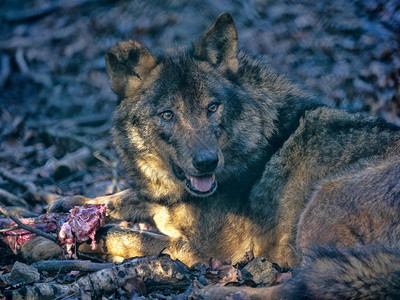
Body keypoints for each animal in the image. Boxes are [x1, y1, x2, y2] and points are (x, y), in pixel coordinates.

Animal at [38, 13, 400, 298]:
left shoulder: (204, 248)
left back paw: (220, 292)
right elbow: (124, 197)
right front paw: (67, 205)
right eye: (168, 115)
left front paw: (75, 235)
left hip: (319, 207)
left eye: (212, 107)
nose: (206, 162)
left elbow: (125, 234)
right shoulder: (167, 201)